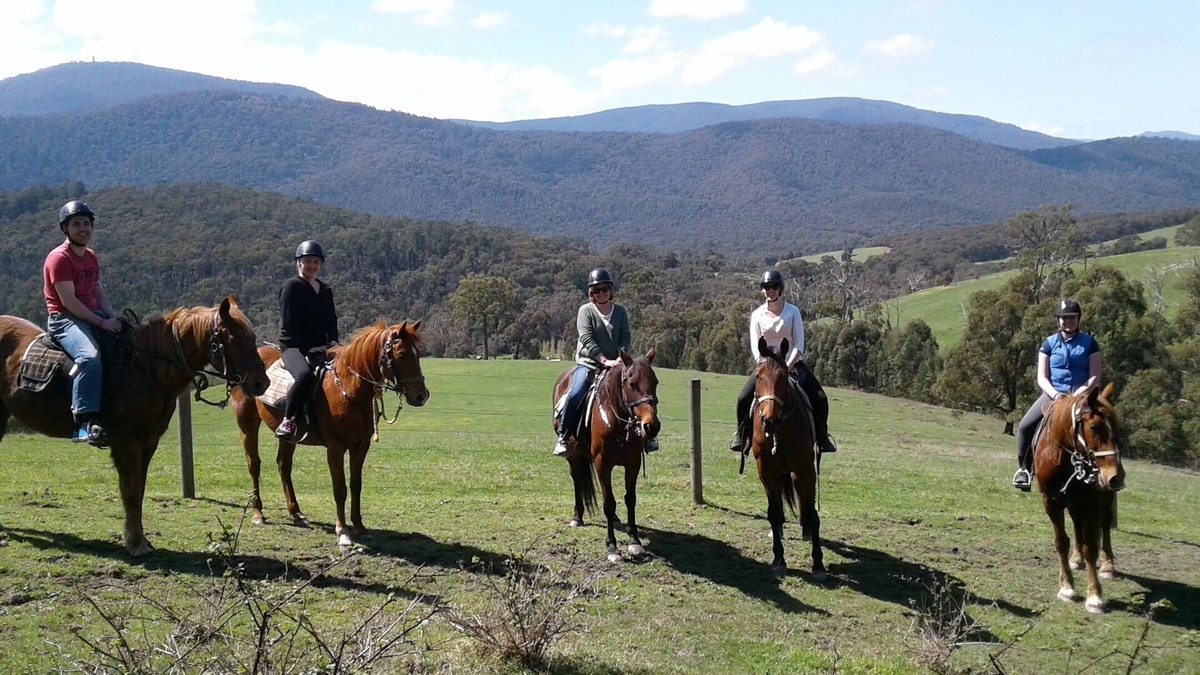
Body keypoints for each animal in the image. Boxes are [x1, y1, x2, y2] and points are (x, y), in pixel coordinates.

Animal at [0, 296, 268, 556]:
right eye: (233, 338)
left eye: (252, 338)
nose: (261, 383)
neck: (145, 366)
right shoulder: (127, 443)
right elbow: (130, 492)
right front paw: (136, 544)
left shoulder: (148, 443)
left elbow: (139, 490)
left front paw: (141, 540)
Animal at [231, 320, 428, 549]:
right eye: (402, 354)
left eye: (417, 354)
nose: (421, 395)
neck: (349, 388)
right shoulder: (335, 448)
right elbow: (339, 489)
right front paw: (342, 532)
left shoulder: (360, 446)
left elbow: (356, 485)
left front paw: (360, 527)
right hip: (247, 425)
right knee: (253, 465)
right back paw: (258, 513)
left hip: (289, 437)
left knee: (283, 465)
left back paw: (296, 513)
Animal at [552, 349, 660, 563]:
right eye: (631, 383)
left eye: (655, 382)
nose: (651, 426)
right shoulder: (603, 464)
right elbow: (609, 503)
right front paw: (612, 547)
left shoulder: (633, 463)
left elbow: (630, 499)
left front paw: (634, 541)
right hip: (573, 455)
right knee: (577, 479)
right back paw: (577, 517)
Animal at [750, 337, 826, 580]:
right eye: (758, 376)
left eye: (784, 377)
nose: (768, 420)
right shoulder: (765, 471)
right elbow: (774, 513)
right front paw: (779, 560)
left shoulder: (805, 470)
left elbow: (812, 513)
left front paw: (818, 565)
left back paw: (805, 530)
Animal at [1033, 381, 1125, 614]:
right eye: (1094, 427)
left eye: (1116, 428)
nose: (1115, 476)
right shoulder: (1051, 502)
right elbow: (1061, 542)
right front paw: (1067, 587)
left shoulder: (1090, 502)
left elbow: (1091, 546)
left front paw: (1095, 597)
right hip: (1073, 502)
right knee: (1076, 524)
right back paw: (1076, 559)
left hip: (1104, 499)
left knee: (1105, 526)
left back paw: (1107, 565)